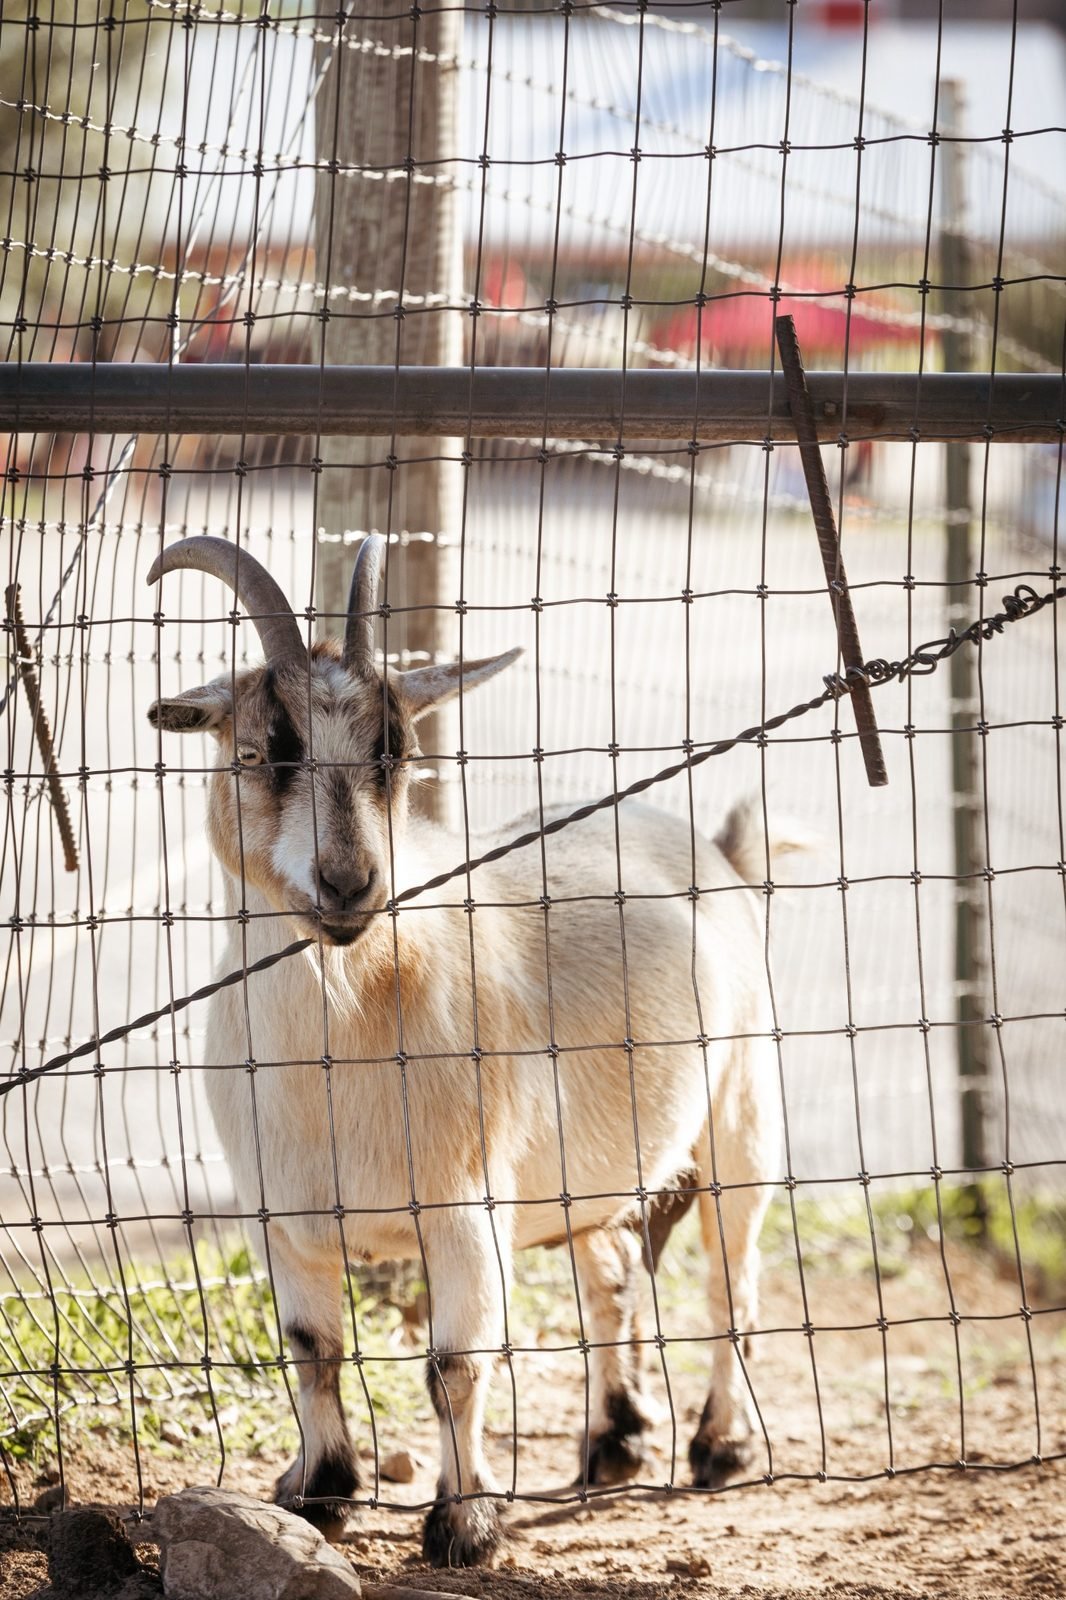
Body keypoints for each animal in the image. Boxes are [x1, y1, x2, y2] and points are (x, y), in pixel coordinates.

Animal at [147, 534, 784, 1566]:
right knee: (612, 1274)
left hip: (741, 1114)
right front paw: (317, 1491)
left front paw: (465, 1524)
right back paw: (615, 1442)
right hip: (589, 1169)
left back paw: (719, 1447)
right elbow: (313, 1350)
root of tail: (717, 851)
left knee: (734, 1284)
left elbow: (455, 1364)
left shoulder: (463, 1209)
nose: (349, 884)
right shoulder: (280, 1219)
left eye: (398, 753)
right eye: (257, 751)